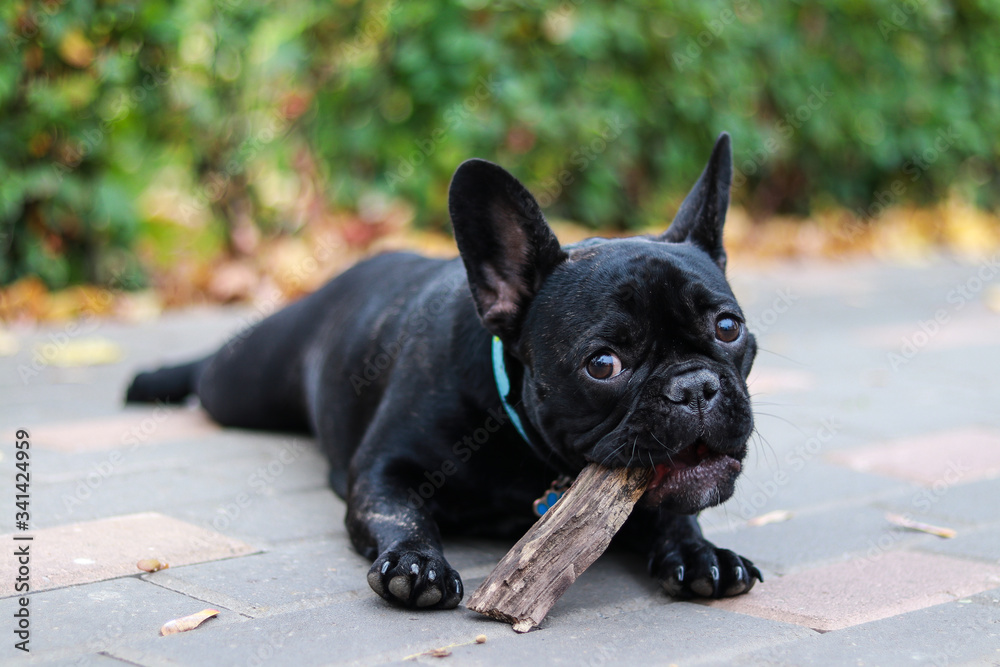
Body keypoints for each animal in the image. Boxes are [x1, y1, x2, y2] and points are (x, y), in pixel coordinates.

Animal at [129, 130, 760, 612]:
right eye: (603, 364)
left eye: (729, 328)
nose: (695, 385)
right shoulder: (383, 470)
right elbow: (404, 515)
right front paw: (416, 565)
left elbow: (675, 515)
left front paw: (701, 553)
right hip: (242, 383)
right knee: (209, 373)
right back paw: (155, 381)